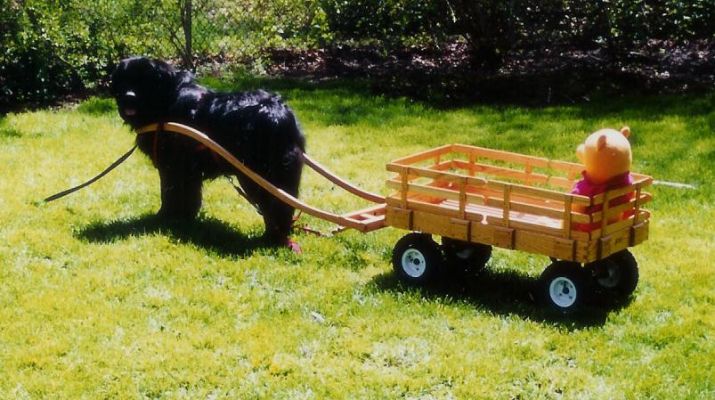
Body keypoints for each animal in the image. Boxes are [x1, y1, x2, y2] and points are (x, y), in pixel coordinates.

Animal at [110, 56, 306, 250]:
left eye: (144, 80)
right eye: (124, 80)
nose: (129, 96)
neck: (166, 103)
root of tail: (280, 114)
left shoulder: (174, 167)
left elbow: (170, 193)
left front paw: (165, 217)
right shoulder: (188, 172)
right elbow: (188, 196)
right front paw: (183, 218)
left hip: (256, 175)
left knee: (275, 205)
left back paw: (272, 239)